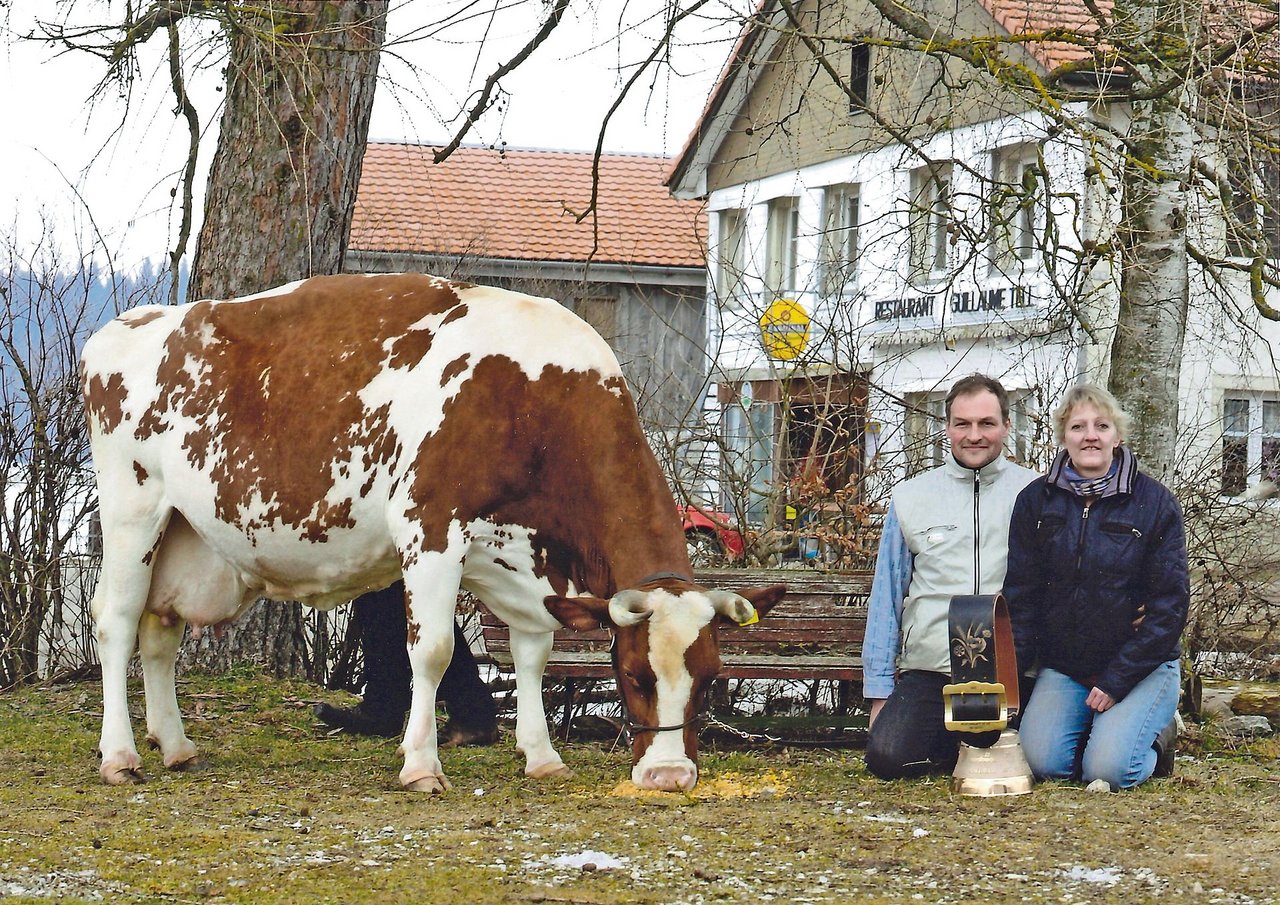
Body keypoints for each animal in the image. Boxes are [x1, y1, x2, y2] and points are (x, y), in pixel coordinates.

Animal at [82, 273, 778, 793]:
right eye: (635, 676)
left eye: (710, 680)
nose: (669, 776)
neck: (535, 393)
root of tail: (127, 325)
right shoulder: (430, 524)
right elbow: (435, 650)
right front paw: (421, 765)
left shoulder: (526, 555)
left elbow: (532, 649)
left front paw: (541, 755)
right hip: (132, 509)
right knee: (116, 621)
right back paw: (120, 755)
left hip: (185, 532)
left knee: (159, 629)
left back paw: (175, 744)